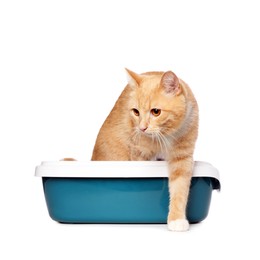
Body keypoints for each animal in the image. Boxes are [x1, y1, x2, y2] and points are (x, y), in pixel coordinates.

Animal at [92, 69, 199, 232]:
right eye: (136, 112)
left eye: (156, 112)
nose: (142, 128)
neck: (165, 135)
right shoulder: (140, 155)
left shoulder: (182, 158)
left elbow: (180, 190)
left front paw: (177, 219)